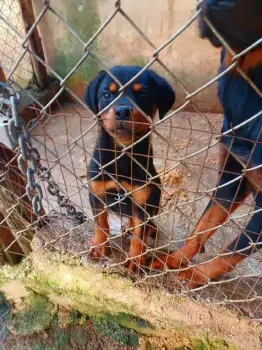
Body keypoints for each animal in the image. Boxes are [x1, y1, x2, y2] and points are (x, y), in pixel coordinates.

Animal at [85, 67, 175, 272]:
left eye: (143, 94)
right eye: (107, 94)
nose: (122, 111)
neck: (123, 154)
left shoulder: (142, 202)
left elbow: (139, 236)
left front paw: (135, 260)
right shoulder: (96, 193)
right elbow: (100, 224)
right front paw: (99, 247)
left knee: (145, 225)